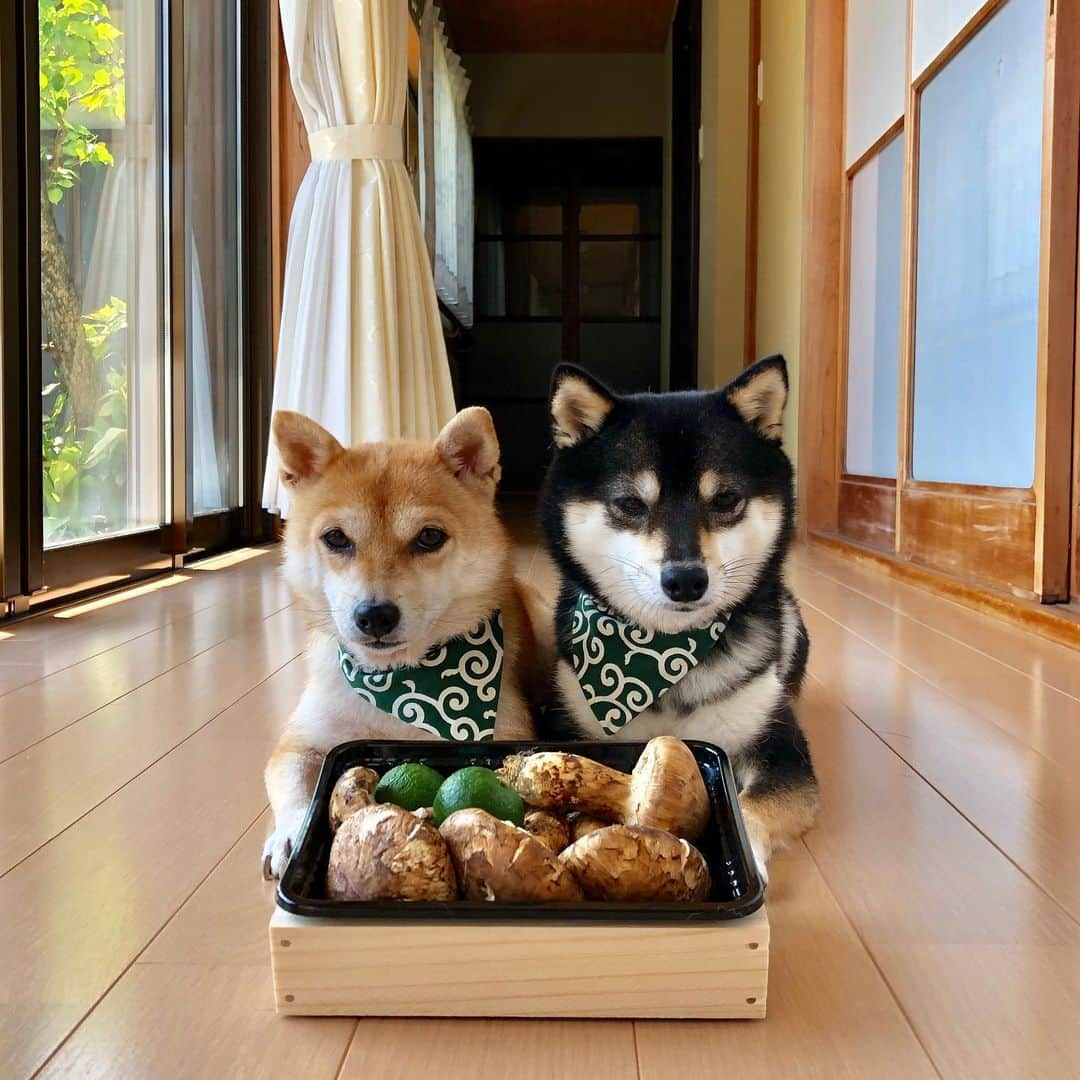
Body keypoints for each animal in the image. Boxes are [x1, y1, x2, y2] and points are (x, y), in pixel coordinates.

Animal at [262, 406, 540, 876]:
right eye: (336, 538)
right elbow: (295, 784)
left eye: (429, 537)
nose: (374, 615)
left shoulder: (507, 731)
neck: (400, 685)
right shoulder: (301, 741)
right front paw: (292, 837)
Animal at [540, 358, 816, 881]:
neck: (661, 662)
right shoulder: (570, 722)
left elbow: (756, 803)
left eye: (725, 499)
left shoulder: (780, 747)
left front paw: (747, 857)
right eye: (630, 503)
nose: (686, 581)